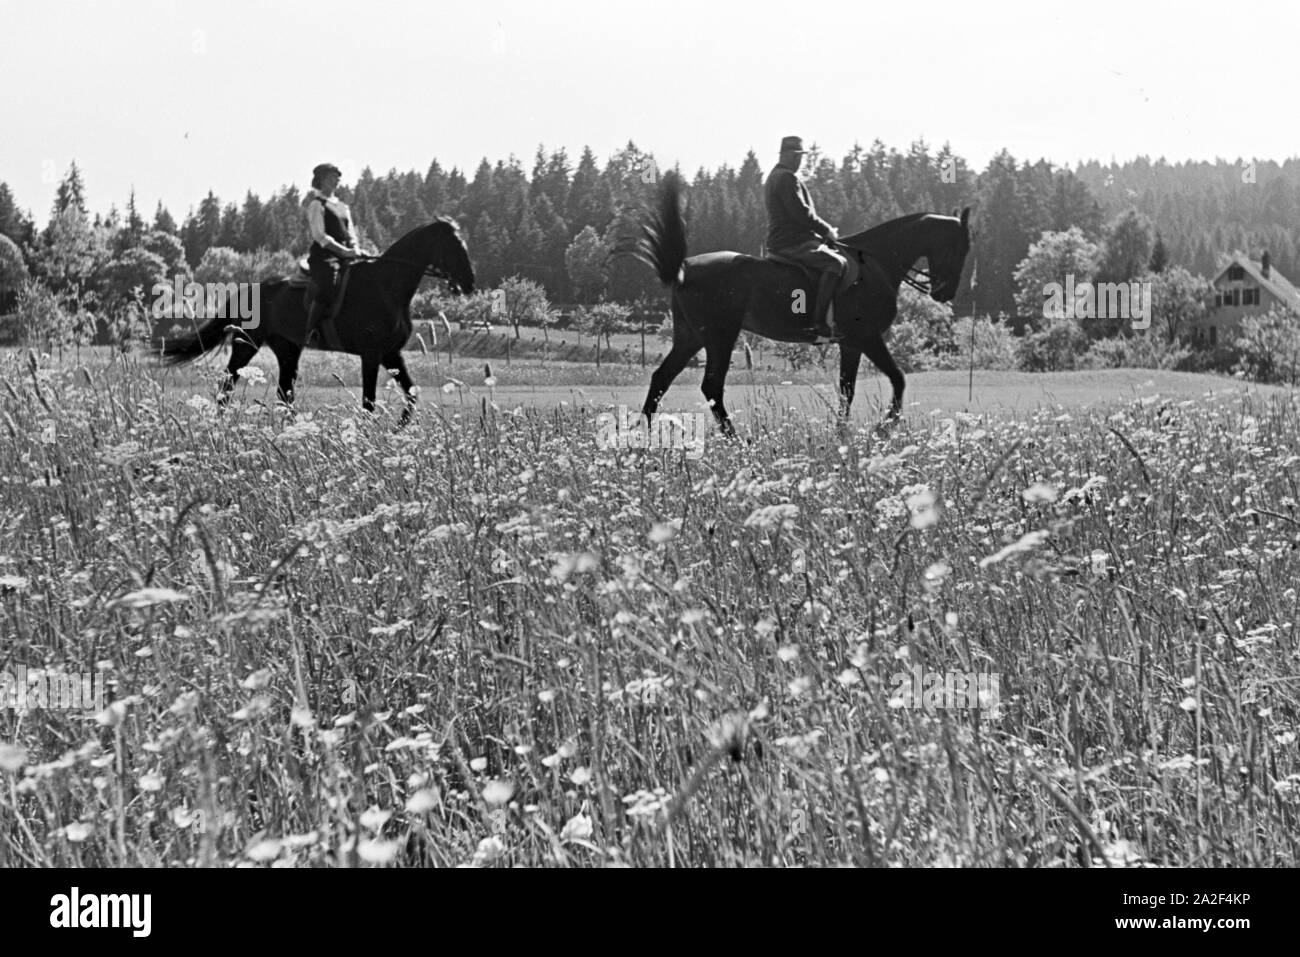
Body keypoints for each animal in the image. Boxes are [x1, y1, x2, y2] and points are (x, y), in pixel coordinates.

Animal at [157, 221, 473, 426]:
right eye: (455, 247)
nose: (470, 284)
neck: (387, 287)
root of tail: (249, 289)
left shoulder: (390, 353)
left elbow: (411, 393)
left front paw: (400, 429)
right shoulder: (371, 354)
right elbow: (369, 401)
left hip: (288, 348)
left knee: (284, 392)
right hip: (247, 343)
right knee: (228, 382)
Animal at [624, 174, 972, 434]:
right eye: (961, 247)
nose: (945, 293)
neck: (874, 264)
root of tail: (684, 270)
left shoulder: (852, 343)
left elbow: (847, 389)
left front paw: (843, 433)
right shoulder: (868, 337)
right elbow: (898, 378)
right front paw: (885, 426)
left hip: (691, 337)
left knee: (661, 379)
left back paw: (645, 437)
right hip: (719, 337)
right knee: (711, 387)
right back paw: (736, 441)